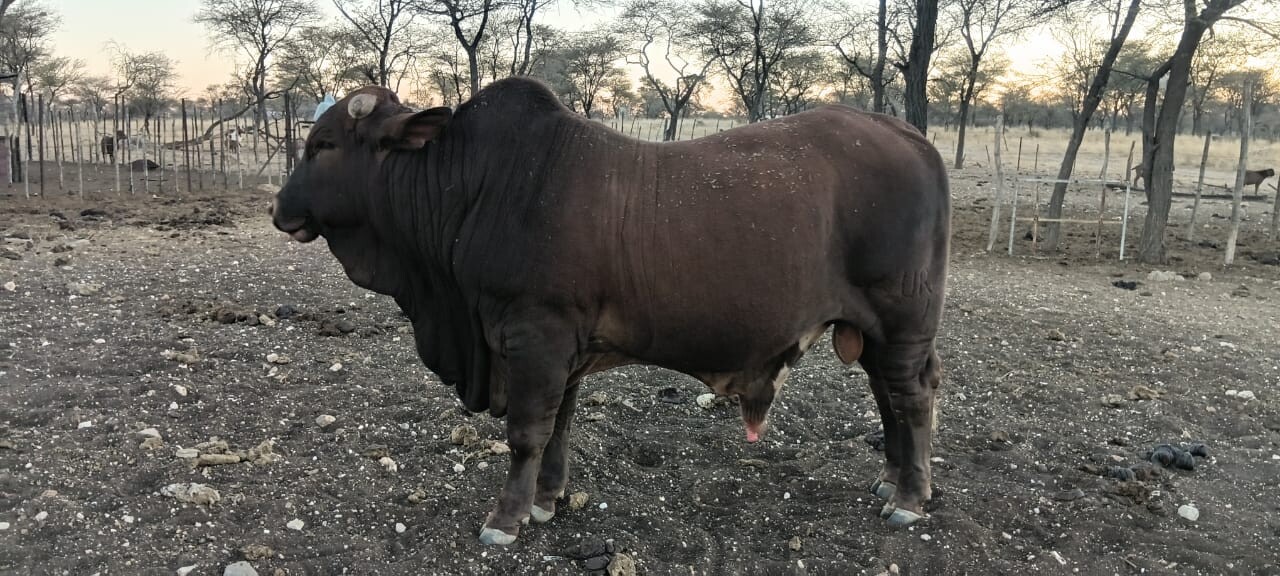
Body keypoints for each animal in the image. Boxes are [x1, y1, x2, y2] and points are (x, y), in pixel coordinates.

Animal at [271, 78, 951, 546]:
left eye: (323, 145)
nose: (280, 208)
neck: (473, 188)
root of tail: (909, 135)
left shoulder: (534, 333)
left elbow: (527, 431)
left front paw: (506, 517)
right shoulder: (563, 346)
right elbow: (559, 426)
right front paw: (546, 499)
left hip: (903, 319)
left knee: (912, 397)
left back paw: (910, 496)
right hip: (873, 330)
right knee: (888, 398)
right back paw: (892, 479)